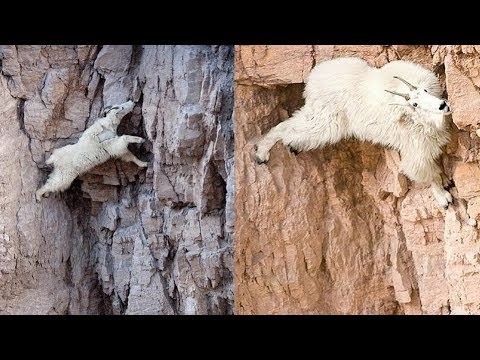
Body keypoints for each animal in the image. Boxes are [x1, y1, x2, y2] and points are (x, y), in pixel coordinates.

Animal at [255, 56, 454, 208]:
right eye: (414, 104)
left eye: (425, 90)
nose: (443, 105)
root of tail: (312, 80)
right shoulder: (416, 149)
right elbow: (427, 174)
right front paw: (444, 198)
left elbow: (435, 166)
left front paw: (445, 179)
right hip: (325, 121)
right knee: (286, 128)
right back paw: (261, 153)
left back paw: (290, 146)